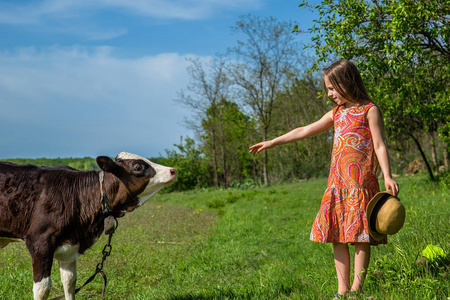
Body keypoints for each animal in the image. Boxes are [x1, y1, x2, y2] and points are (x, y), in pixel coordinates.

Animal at [0, 154, 177, 298]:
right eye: (138, 167)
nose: (173, 170)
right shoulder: (40, 243)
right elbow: (42, 289)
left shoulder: (70, 245)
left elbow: (70, 282)